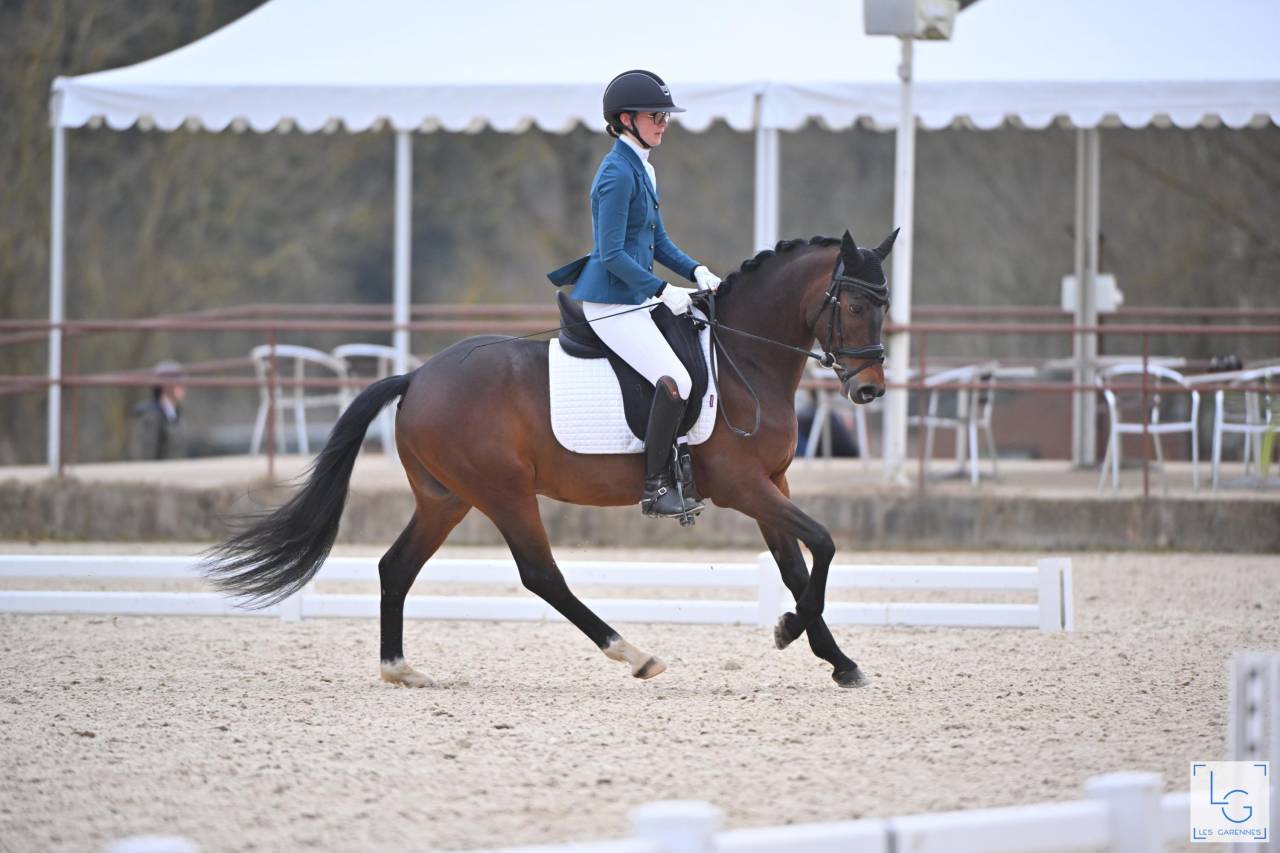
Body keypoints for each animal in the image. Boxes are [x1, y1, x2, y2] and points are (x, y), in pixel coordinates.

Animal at [204, 228, 895, 689]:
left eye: (884, 306)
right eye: (857, 305)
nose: (869, 391)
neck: (745, 356)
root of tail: (417, 376)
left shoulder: (771, 483)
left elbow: (796, 567)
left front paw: (837, 659)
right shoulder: (744, 485)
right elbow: (823, 544)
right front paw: (793, 631)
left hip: (446, 498)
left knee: (395, 567)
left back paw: (400, 669)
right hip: (504, 491)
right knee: (541, 575)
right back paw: (634, 654)